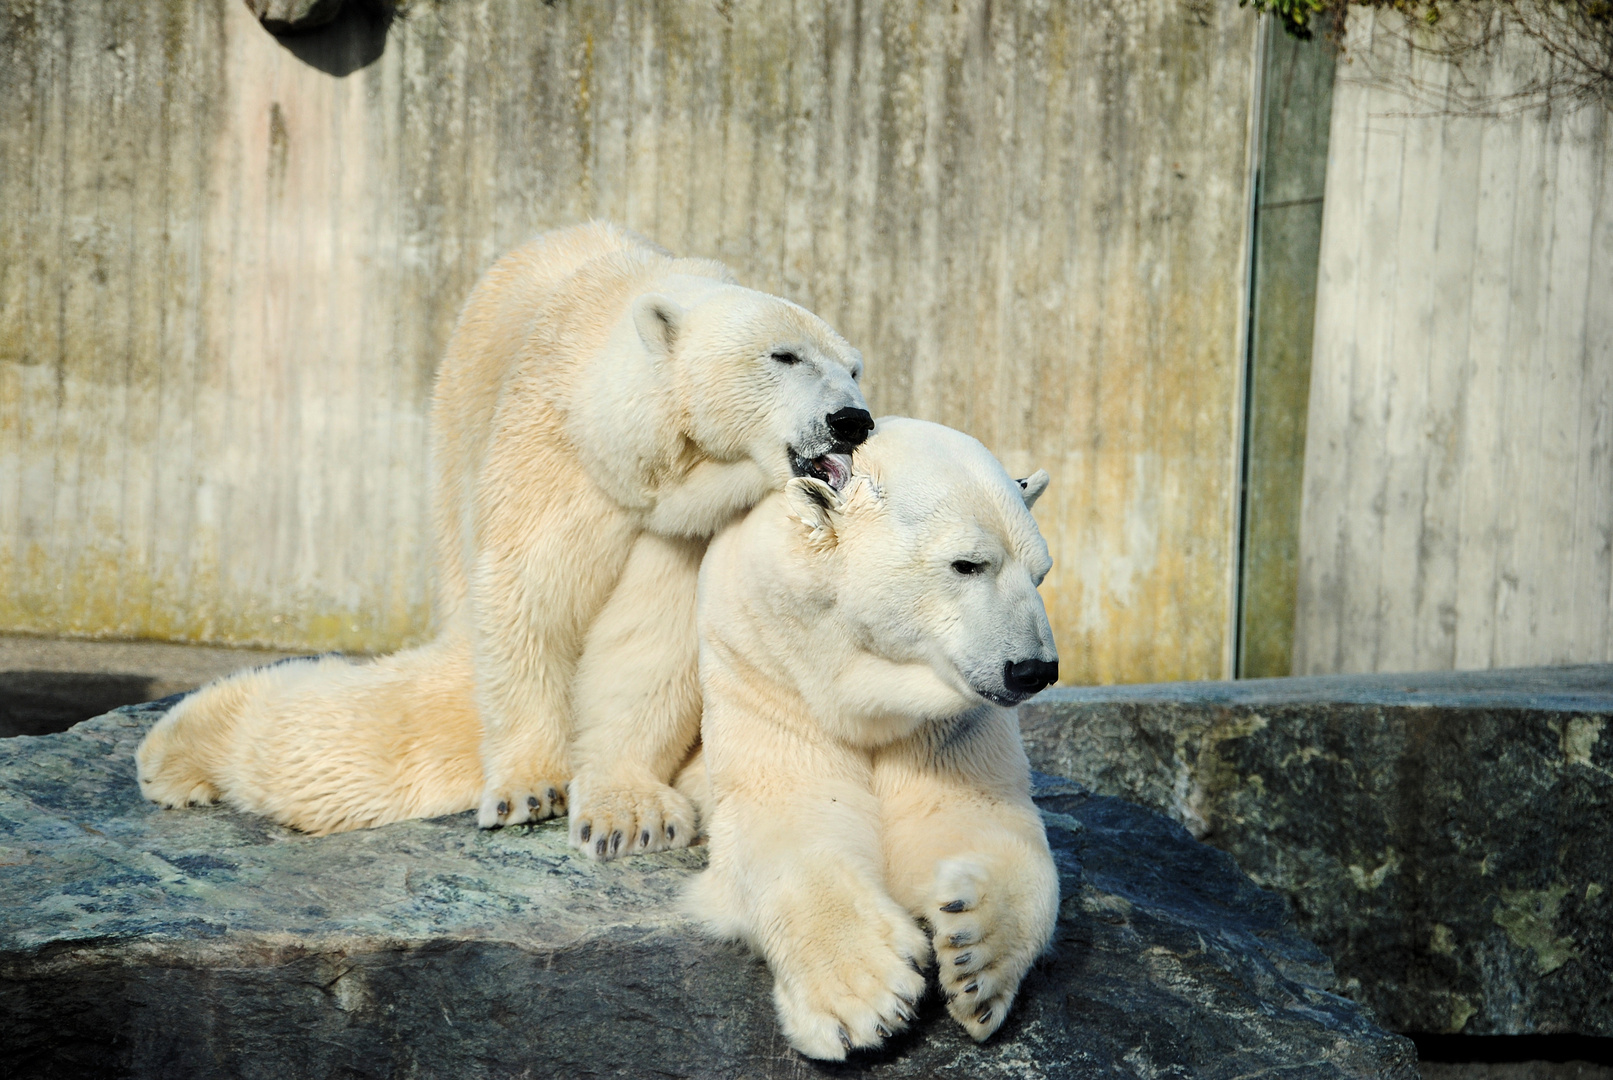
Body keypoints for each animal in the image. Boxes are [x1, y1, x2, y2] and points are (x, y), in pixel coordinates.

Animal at [137, 222, 871, 844]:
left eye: (854, 367)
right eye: (784, 355)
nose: (852, 420)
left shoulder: (682, 528)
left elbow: (650, 640)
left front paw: (627, 816)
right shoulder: (554, 457)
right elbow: (529, 596)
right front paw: (531, 789)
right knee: (353, 746)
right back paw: (173, 754)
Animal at [690, 419, 1058, 1063]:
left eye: (1041, 574)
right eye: (967, 564)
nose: (1033, 669)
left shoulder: (948, 724)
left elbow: (970, 812)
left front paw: (974, 956)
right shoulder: (765, 668)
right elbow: (790, 814)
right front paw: (863, 997)